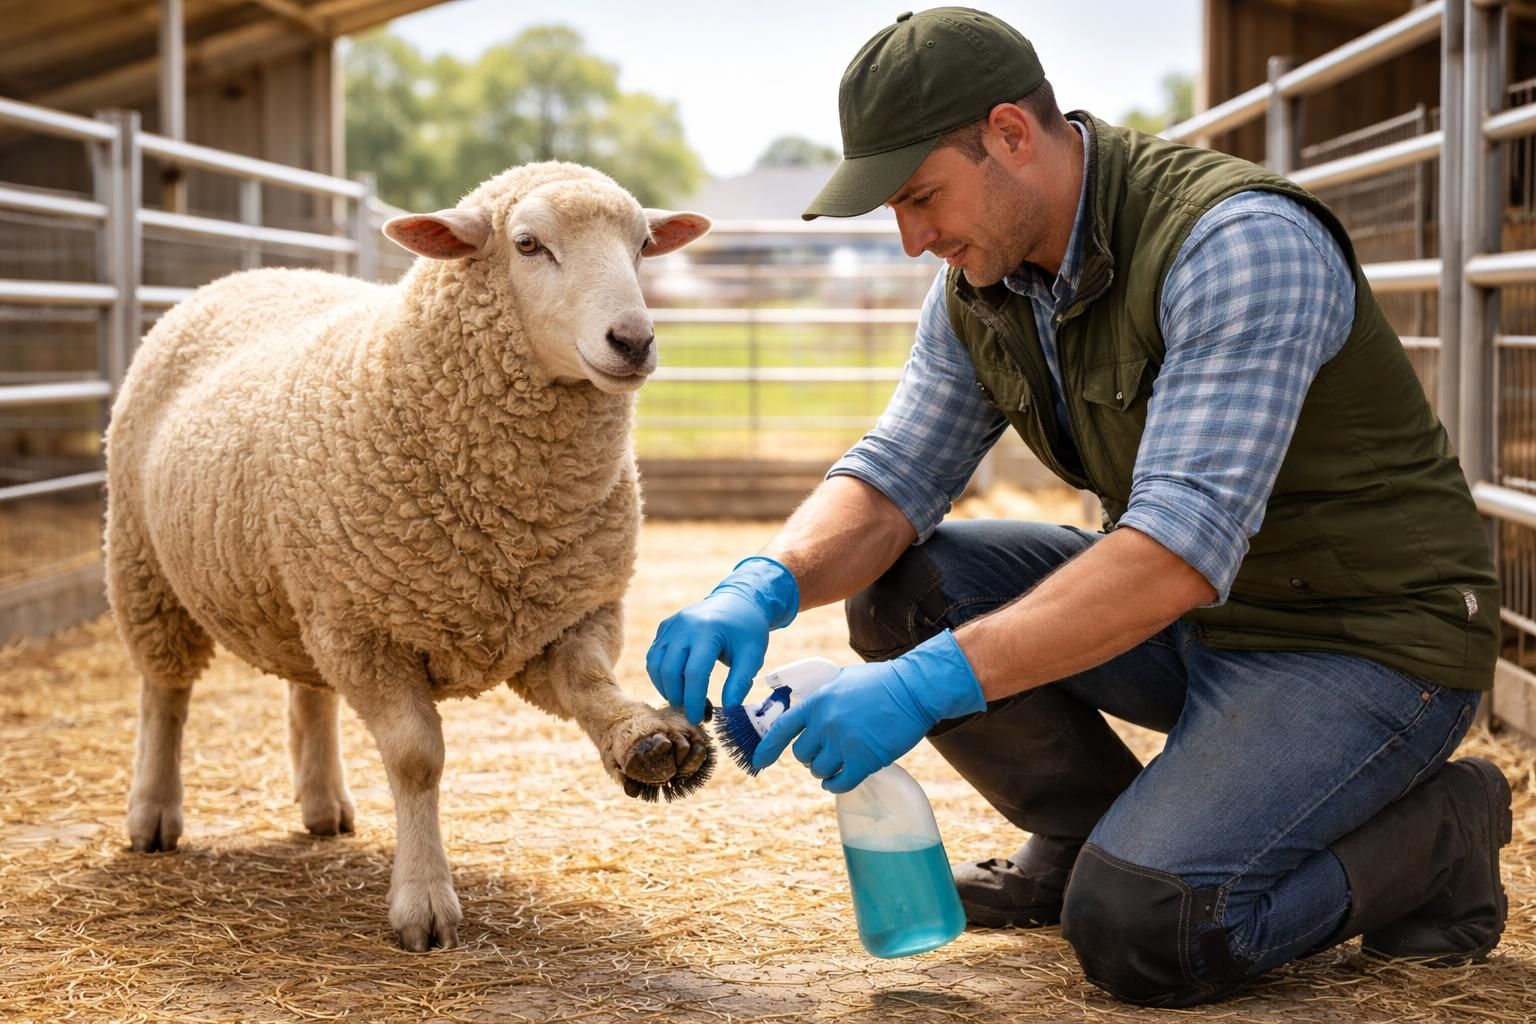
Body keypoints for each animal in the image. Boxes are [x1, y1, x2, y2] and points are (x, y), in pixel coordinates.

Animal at [104, 161, 712, 951]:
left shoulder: (566, 613)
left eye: (642, 245)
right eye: (527, 244)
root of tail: (249, 273)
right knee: (165, 694)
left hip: (303, 591)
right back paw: (152, 812)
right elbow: (417, 759)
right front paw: (423, 901)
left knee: (308, 693)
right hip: (147, 564)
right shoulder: (367, 632)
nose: (634, 340)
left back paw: (324, 804)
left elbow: (589, 686)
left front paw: (644, 740)